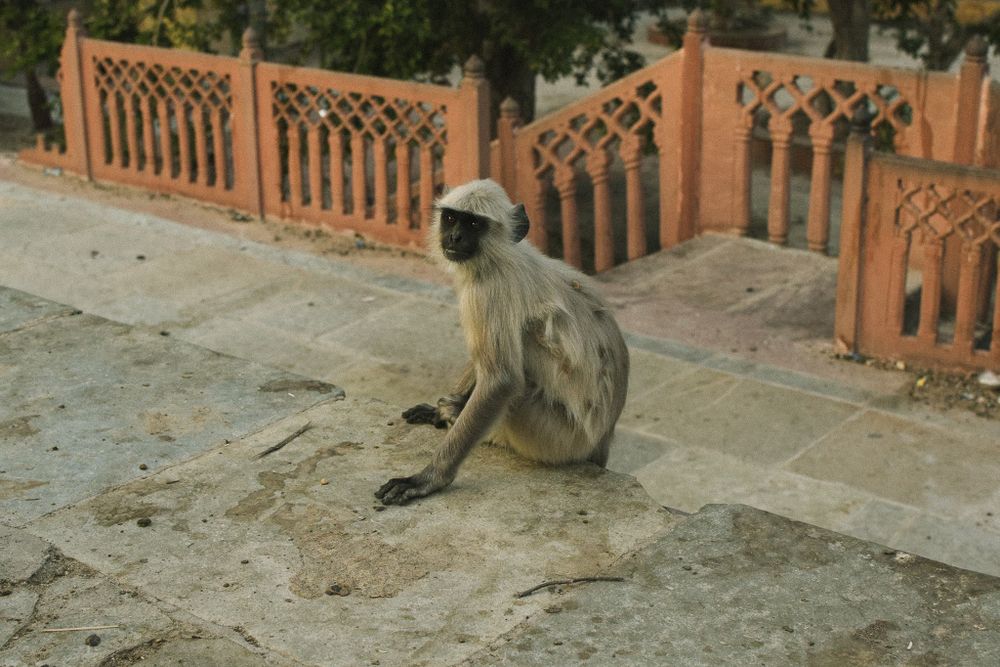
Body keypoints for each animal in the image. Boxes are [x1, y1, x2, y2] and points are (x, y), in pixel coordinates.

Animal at [375, 178, 629, 506]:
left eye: (473, 223)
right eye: (451, 218)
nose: (455, 237)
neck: (500, 256)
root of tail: (603, 437)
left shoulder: (488, 292)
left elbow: (501, 380)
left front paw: (429, 478)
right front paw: (443, 408)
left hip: (556, 436)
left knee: (525, 344)